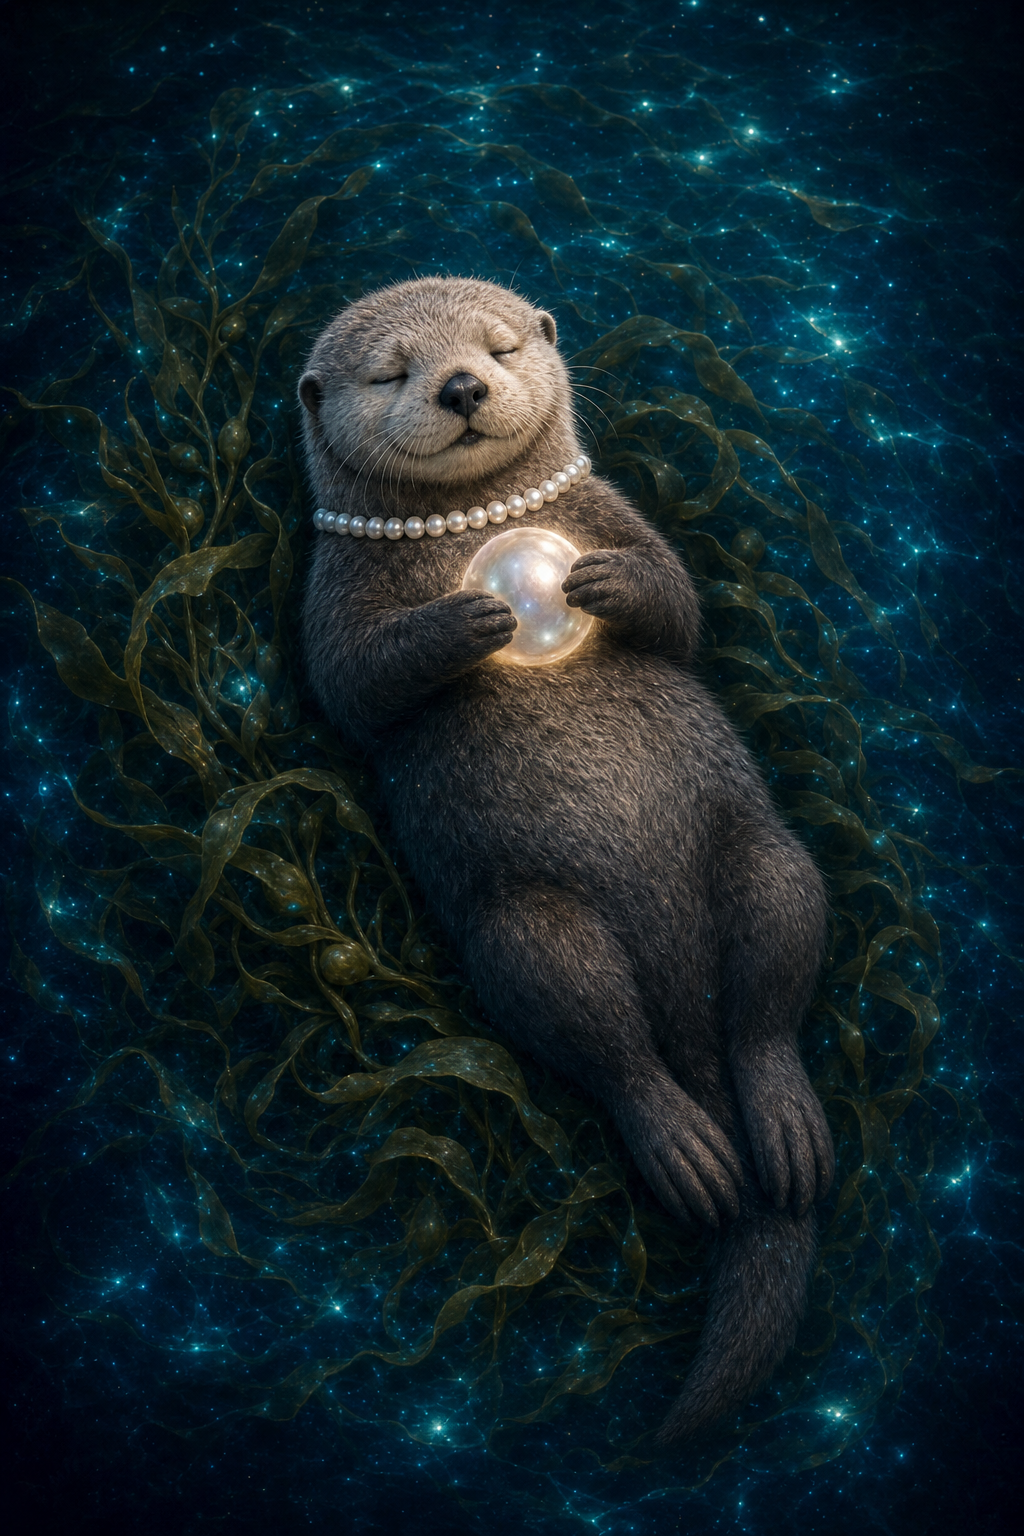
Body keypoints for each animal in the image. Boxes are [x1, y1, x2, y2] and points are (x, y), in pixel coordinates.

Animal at [297, 276, 834, 1444]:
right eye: (392, 371)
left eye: (499, 347)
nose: (460, 385)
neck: (484, 526)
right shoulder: (330, 594)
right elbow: (353, 684)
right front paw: (467, 615)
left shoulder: (620, 511)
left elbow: (678, 604)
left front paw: (600, 584)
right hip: (528, 930)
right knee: (606, 1045)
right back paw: (693, 1153)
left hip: (767, 857)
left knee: (767, 1007)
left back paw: (783, 1128)